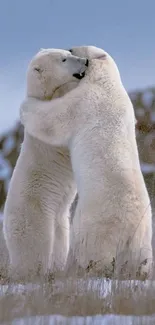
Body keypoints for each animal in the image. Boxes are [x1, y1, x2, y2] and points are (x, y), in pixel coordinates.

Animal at [3, 48, 89, 278]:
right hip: (34, 213)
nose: (85, 61)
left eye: (67, 53)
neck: (45, 94)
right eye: (64, 59)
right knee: (39, 245)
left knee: (61, 240)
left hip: (60, 220)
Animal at [19, 47, 153, 278]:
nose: (71, 48)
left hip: (94, 225)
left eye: (74, 50)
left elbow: (53, 121)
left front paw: (26, 106)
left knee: (88, 252)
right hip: (143, 241)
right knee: (139, 261)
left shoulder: (85, 101)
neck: (108, 83)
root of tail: (131, 231)